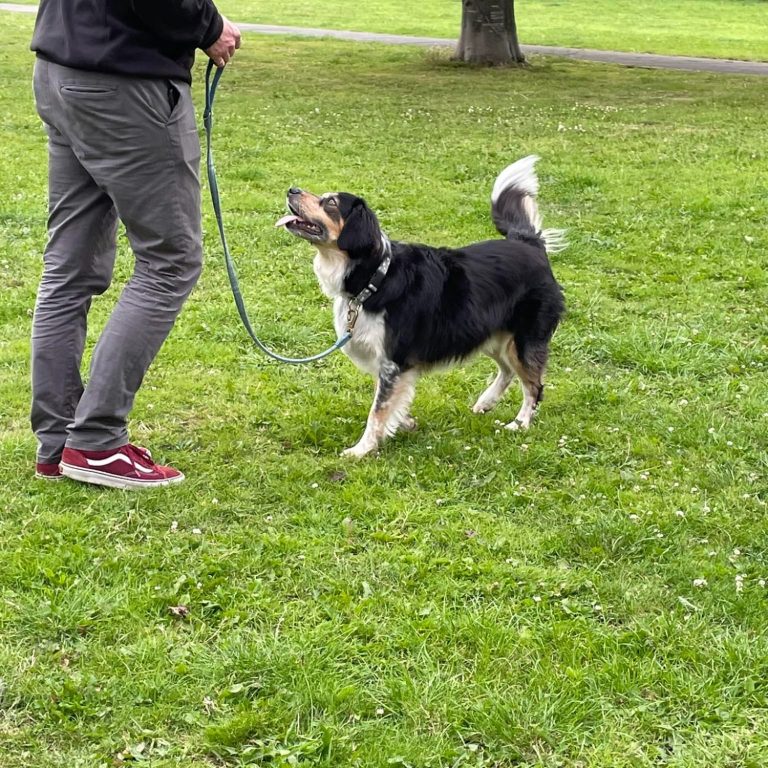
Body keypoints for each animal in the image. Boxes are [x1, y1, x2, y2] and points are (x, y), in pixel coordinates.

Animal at [276, 155, 564, 456]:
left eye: (330, 203)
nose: (292, 190)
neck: (375, 277)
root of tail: (529, 243)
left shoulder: (394, 361)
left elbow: (377, 410)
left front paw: (362, 450)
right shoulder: (391, 365)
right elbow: (388, 401)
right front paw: (403, 422)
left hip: (523, 339)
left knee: (534, 385)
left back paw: (520, 423)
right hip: (490, 334)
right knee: (508, 371)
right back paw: (486, 402)